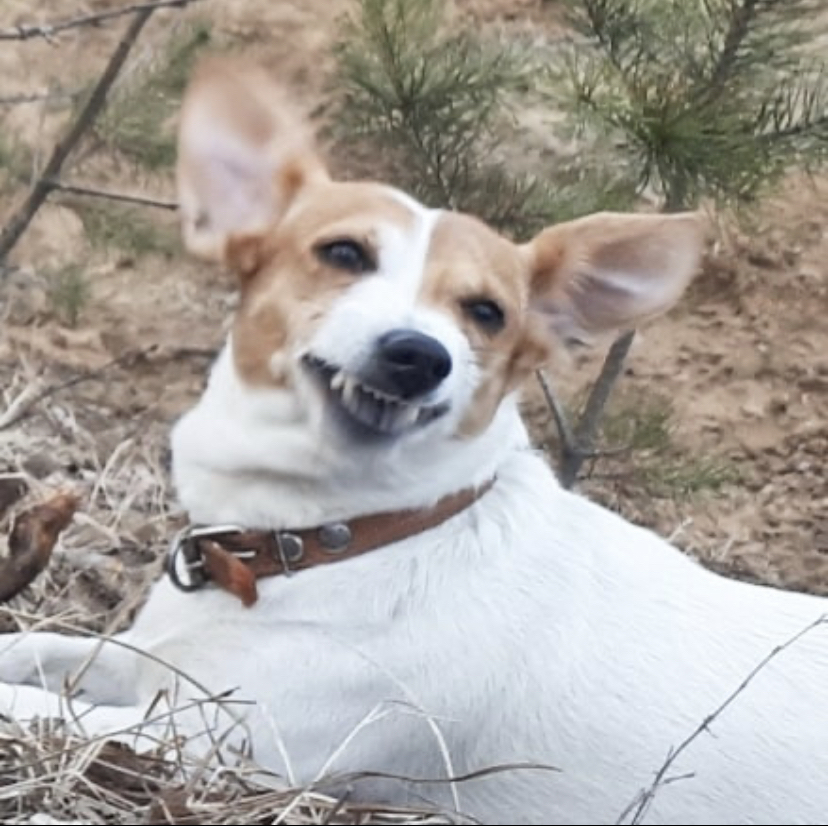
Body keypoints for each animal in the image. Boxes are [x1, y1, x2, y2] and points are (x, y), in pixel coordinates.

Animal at [1, 59, 828, 824]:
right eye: (343, 253)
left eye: (487, 312)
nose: (417, 354)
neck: (336, 539)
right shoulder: (149, 664)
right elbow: (37, 651)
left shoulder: (211, 741)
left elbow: (36, 708)